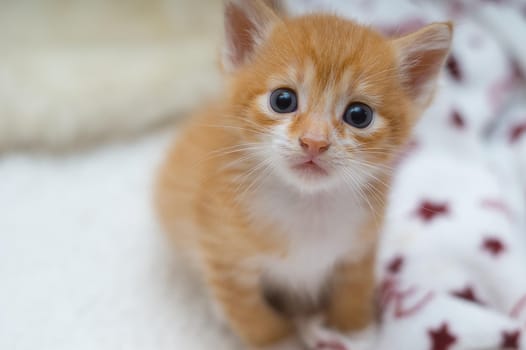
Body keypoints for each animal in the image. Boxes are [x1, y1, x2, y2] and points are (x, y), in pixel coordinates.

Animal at [156, 1, 454, 348]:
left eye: (359, 115)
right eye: (282, 100)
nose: (314, 142)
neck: (308, 204)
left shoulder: (359, 248)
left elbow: (354, 292)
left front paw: (354, 333)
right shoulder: (224, 257)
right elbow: (252, 316)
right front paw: (280, 340)